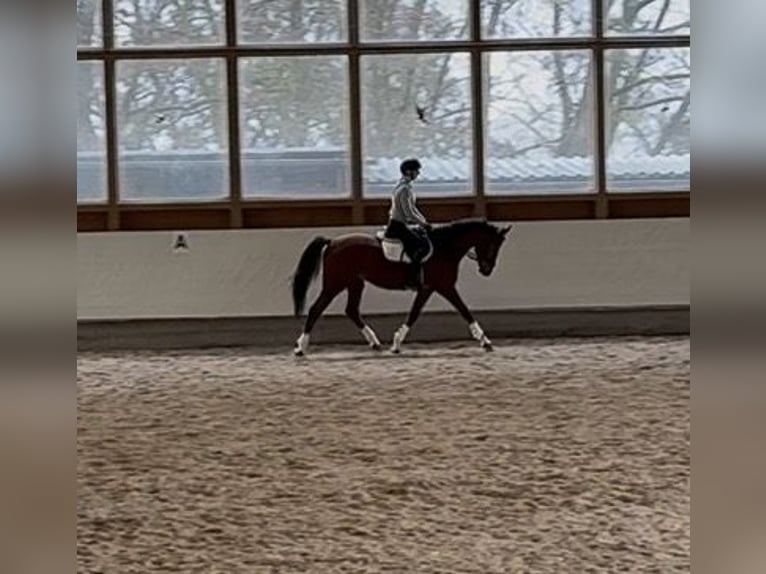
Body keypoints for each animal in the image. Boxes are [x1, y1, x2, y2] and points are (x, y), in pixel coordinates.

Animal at [290, 217, 512, 356]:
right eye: (493, 245)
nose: (486, 269)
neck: (444, 248)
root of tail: (332, 242)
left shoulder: (428, 288)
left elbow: (415, 313)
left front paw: (396, 343)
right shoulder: (444, 286)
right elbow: (463, 311)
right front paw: (485, 341)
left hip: (355, 283)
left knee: (351, 310)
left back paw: (375, 343)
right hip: (335, 284)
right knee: (316, 309)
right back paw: (301, 347)